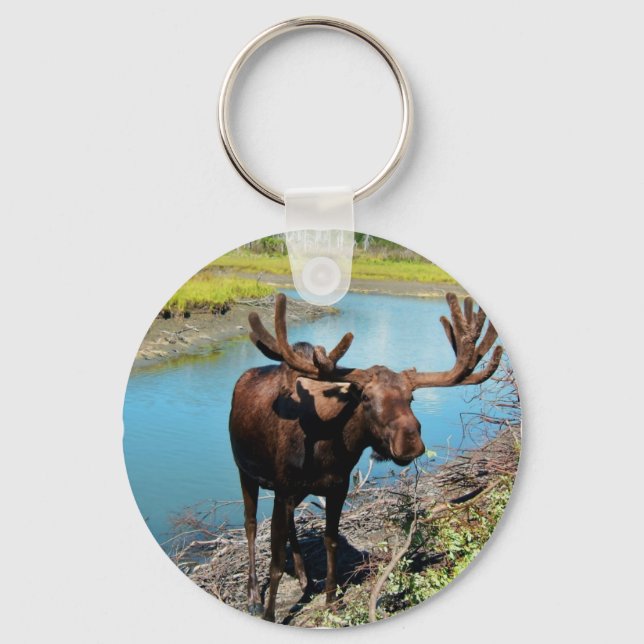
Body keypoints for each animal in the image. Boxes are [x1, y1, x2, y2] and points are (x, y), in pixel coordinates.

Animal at [228, 292, 502, 621]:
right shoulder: (283, 487)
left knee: (290, 522)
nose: (410, 442)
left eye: (411, 397)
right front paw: (270, 614)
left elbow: (331, 541)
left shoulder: (337, 486)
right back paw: (254, 596)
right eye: (367, 398)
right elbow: (277, 561)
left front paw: (331, 599)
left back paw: (305, 577)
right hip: (246, 471)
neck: (329, 446)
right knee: (250, 525)